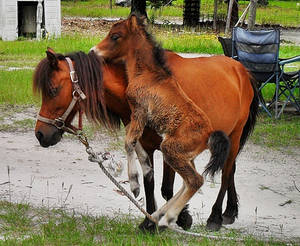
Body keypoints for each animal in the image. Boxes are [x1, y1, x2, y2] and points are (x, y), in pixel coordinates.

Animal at [90, 13, 258, 231]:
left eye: (115, 36)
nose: (93, 51)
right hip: (188, 153)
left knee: (211, 176)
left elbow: (130, 145)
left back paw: (202, 218)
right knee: (196, 179)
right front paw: (149, 218)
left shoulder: (140, 113)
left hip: (190, 145)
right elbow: (145, 165)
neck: (149, 73)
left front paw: (135, 185)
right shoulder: (143, 131)